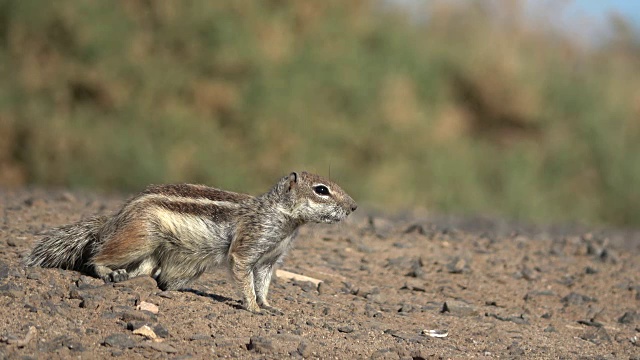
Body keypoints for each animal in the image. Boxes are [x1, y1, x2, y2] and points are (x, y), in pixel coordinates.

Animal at [26, 172, 356, 312]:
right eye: (322, 189)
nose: (353, 207)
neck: (285, 220)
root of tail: (115, 218)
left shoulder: (269, 260)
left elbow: (263, 283)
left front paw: (268, 305)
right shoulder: (248, 246)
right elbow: (244, 276)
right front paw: (253, 308)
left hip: (160, 255)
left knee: (148, 271)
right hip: (139, 238)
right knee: (97, 255)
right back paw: (110, 272)